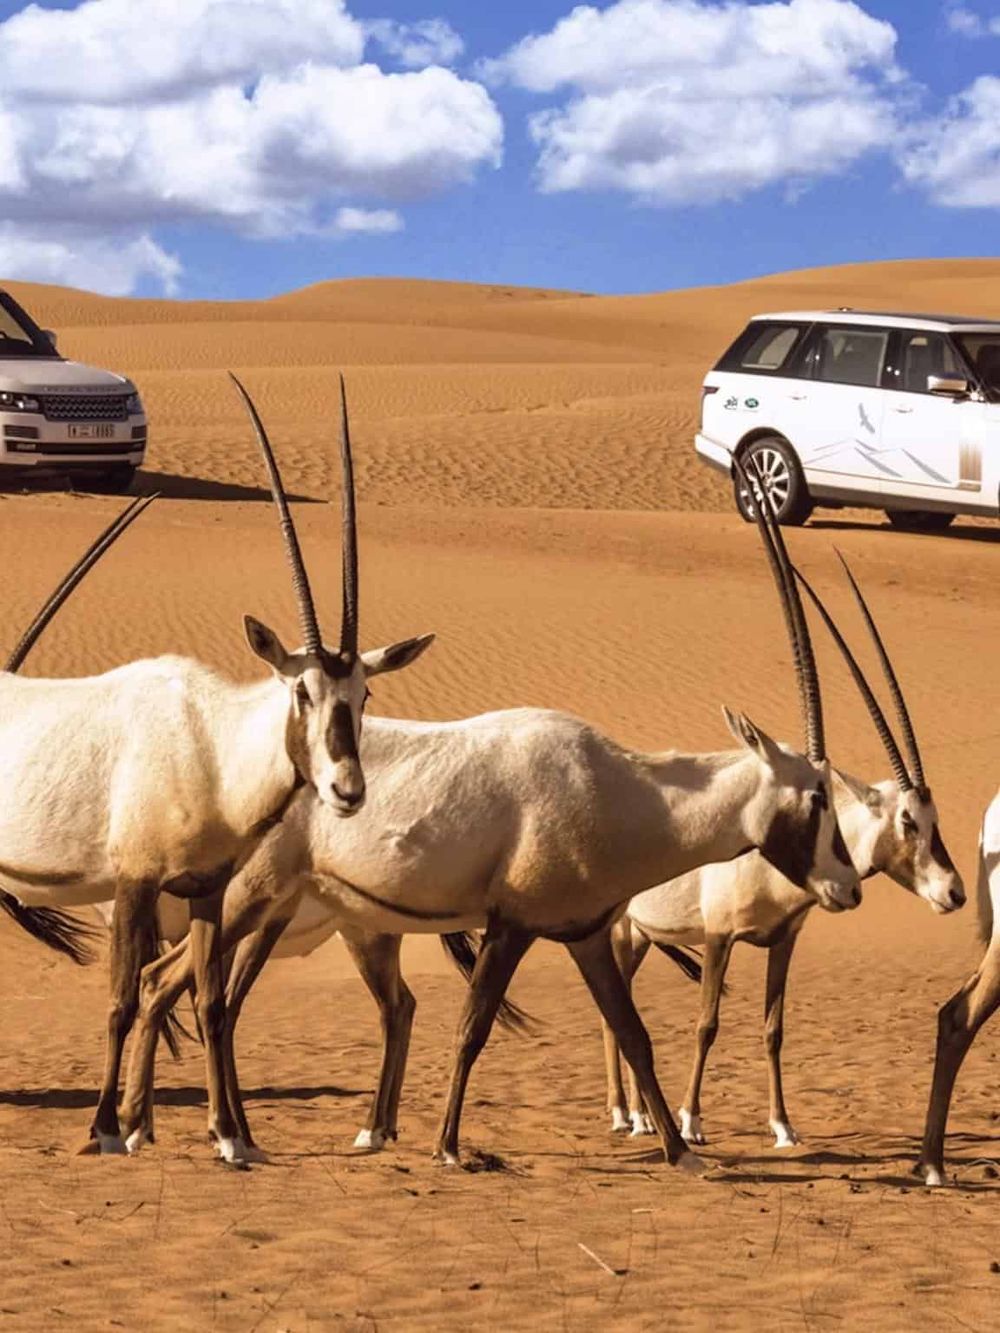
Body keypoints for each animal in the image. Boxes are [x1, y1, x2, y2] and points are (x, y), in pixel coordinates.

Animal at [0, 375, 432, 1161]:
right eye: (302, 691)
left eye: (364, 694)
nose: (347, 790)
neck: (212, 744)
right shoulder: (136, 884)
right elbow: (122, 998)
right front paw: (106, 1129)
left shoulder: (206, 892)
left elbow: (206, 997)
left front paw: (231, 1138)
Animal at [118, 463, 861, 1174]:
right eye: (818, 796)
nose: (849, 888)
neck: (624, 790)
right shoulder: (511, 925)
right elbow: (472, 1029)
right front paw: (448, 1146)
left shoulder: (586, 933)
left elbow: (634, 1033)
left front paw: (682, 1151)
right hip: (247, 898)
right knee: (172, 984)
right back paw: (175, 1131)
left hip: (275, 908)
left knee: (185, 989)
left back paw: (170, 1127)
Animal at [602, 558, 964, 1147]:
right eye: (908, 821)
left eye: (937, 821)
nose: (954, 893)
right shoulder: (719, 937)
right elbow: (706, 1024)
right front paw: (692, 1120)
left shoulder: (783, 941)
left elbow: (774, 1029)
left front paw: (782, 1126)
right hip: (618, 930)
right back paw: (622, 1114)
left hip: (641, 937)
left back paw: (638, 1113)